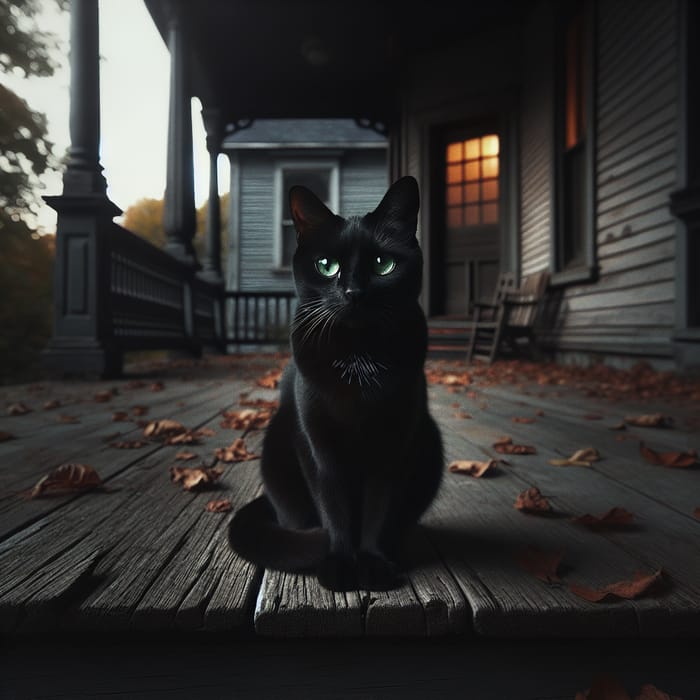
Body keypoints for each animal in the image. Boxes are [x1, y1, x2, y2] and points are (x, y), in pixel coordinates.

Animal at [230, 175, 442, 592]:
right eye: (326, 266)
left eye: (382, 264)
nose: (353, 293)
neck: (358, 360)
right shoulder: (319, 447)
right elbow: (334, 508)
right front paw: (341, 563)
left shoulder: (394, 445)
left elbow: (378, 509)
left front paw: (373, 562)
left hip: (430, 440)